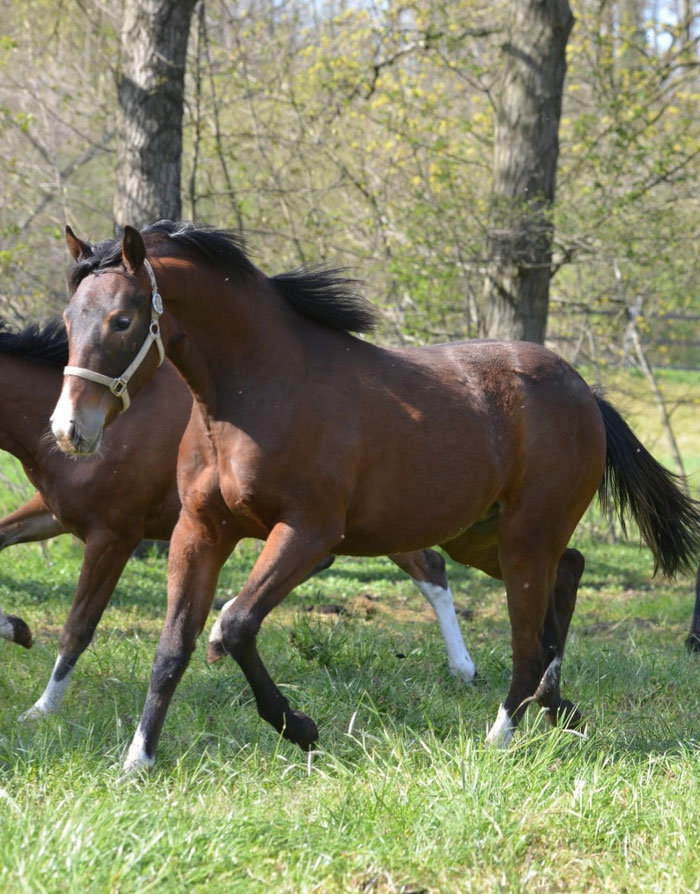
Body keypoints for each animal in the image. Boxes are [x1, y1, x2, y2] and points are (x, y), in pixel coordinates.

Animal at [0, 319, 475, 716]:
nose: (70, 433)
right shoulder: (54, 515)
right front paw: (15, 628)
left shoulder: (113, 536)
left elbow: (78, 626)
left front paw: (41, 709)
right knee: (416, 565)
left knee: (425, 567)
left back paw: (463, 667)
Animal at [51, 221, 700, 772]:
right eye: (68, 319)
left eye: (122, 320)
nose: (69, 430)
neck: (258, 392)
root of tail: (584, 392)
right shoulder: (201, 531)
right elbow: (172, 648)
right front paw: (139, 759)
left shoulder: (310, 533)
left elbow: (233, 625)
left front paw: (300, 728)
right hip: (481, 537)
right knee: (570, 573)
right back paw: (557, 707)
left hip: (525, 539)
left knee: (527, 638)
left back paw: (501, 736)